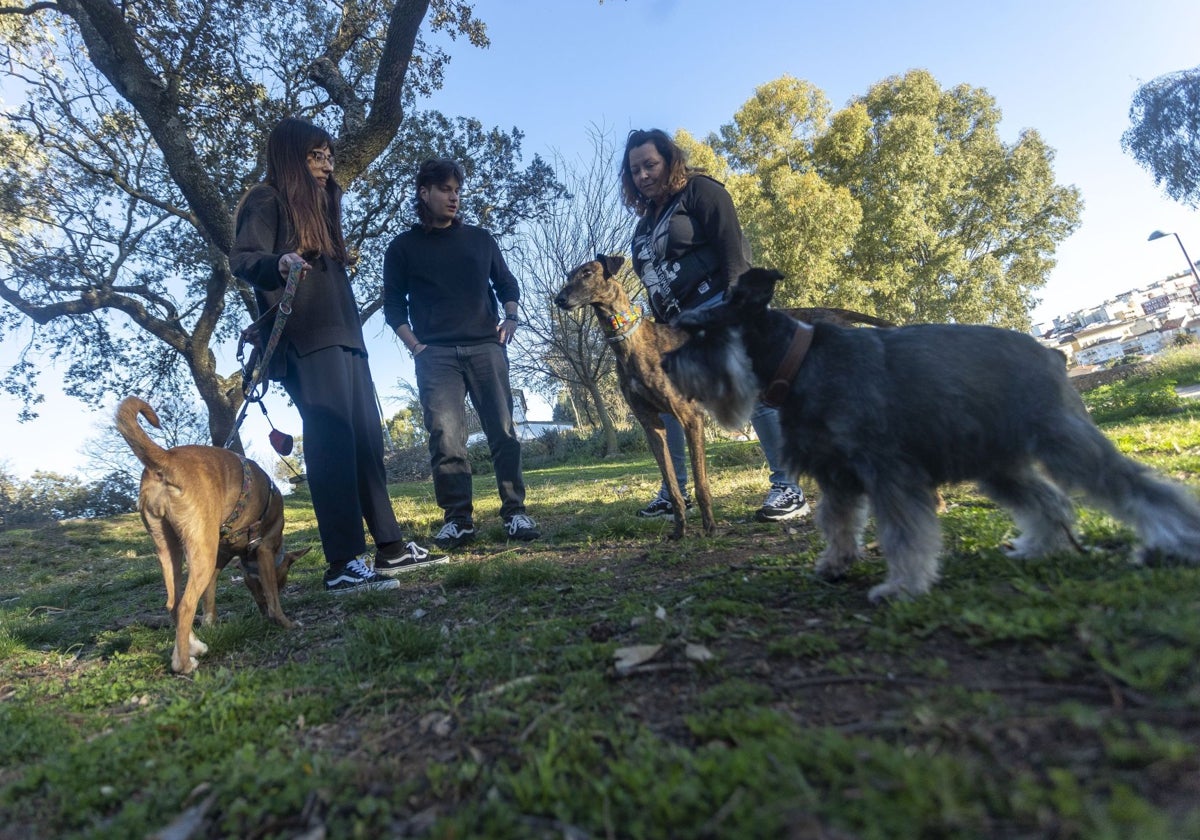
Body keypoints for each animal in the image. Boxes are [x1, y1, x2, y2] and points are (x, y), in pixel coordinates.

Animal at [115, 396, 307, 676]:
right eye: (283, 581)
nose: (263, 616)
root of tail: (166, 459)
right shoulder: (263, 549)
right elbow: (273, 598)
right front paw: (286, 622)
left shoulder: (220, 560)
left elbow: (209, 599)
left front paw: (210, 624)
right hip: (201, 552)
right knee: (185, 605)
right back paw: (183, 664)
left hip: (169, 547)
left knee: (173, 603)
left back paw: (193, 646)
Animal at [662, 268, 1200, 604]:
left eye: (701, 332)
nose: (666, 364)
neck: (798, 363)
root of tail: (1052, 352)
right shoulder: (837, 476)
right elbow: (837, 522)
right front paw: (836, 562)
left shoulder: (888, 474)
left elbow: (904, 534)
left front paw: (901, 586)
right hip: (997, 466)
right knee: (1047, 500)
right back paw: (1036, 547)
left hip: (1065, 443)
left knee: (1136, 486)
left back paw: (1175, 540)